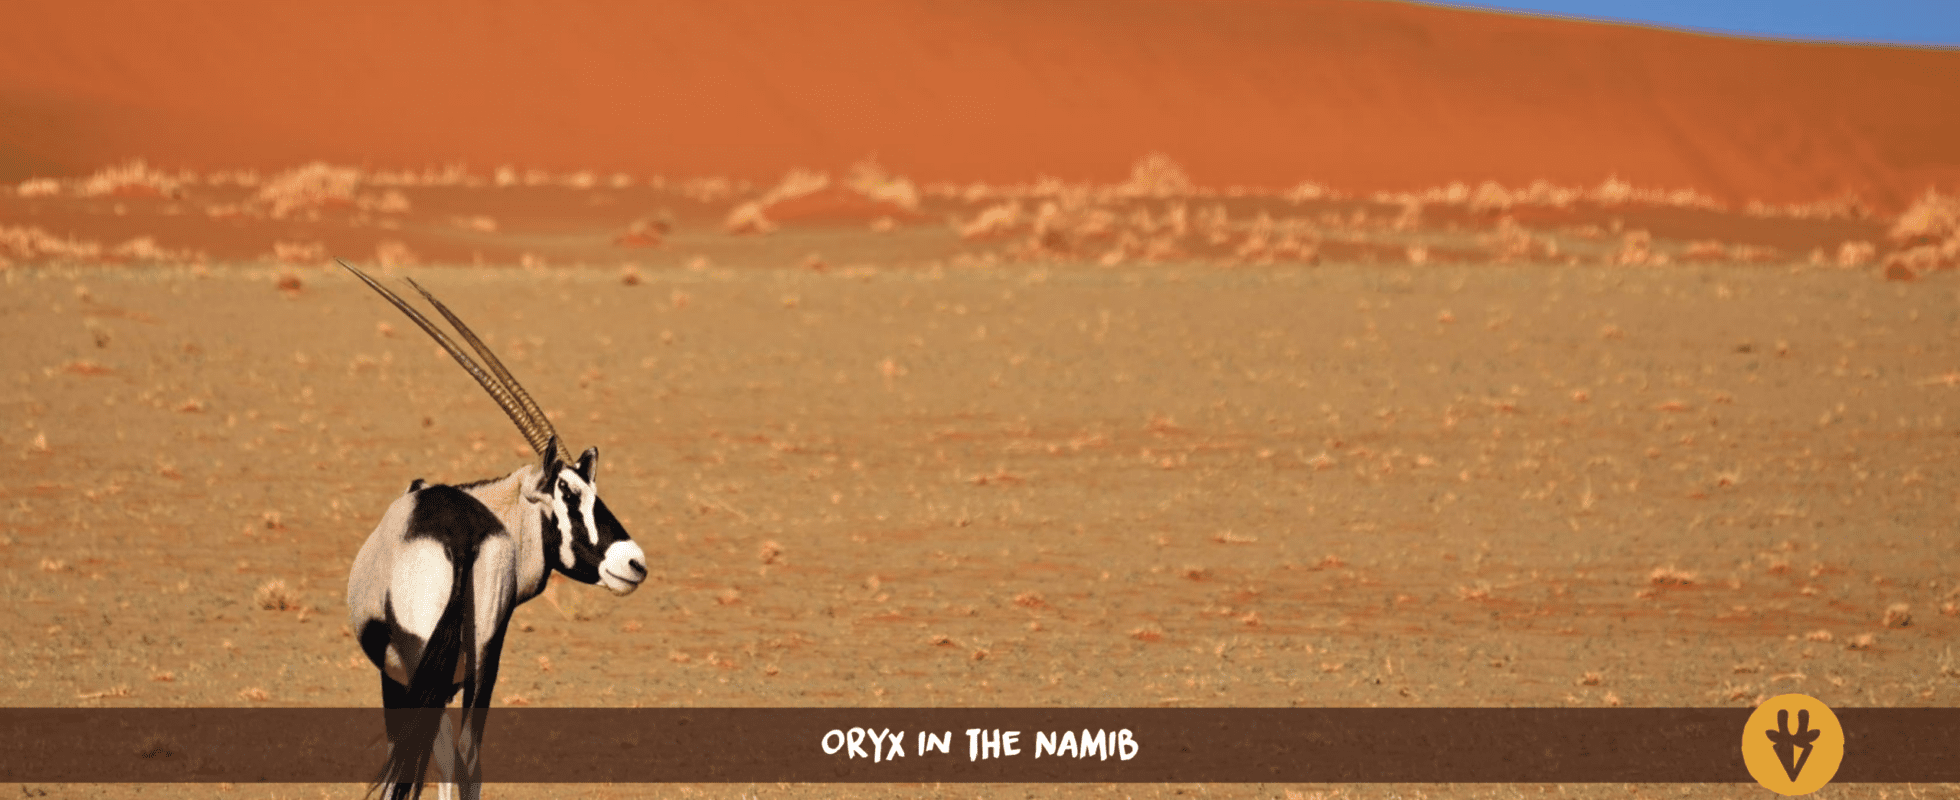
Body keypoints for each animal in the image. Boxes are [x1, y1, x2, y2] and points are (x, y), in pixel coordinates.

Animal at [340, 259, 647, 800]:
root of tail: (461, 537)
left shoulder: (397, 680)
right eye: (570, 493)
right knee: (468, 761)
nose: (634, 562)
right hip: (483, 662)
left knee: (443, 761)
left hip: (428, 668)